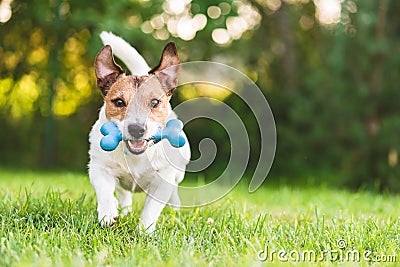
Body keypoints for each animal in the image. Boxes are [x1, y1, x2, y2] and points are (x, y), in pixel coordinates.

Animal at [88, 31, 191, 233]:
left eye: (154, 102)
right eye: (119, 102)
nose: (136, 129)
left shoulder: (162, 180)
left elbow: (152, 208)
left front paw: (145, 230)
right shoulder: (99, 167)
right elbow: (104, 191)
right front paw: (107, 214)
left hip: (177, 175)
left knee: (174, 196)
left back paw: (175, 214)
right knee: (123, 194)